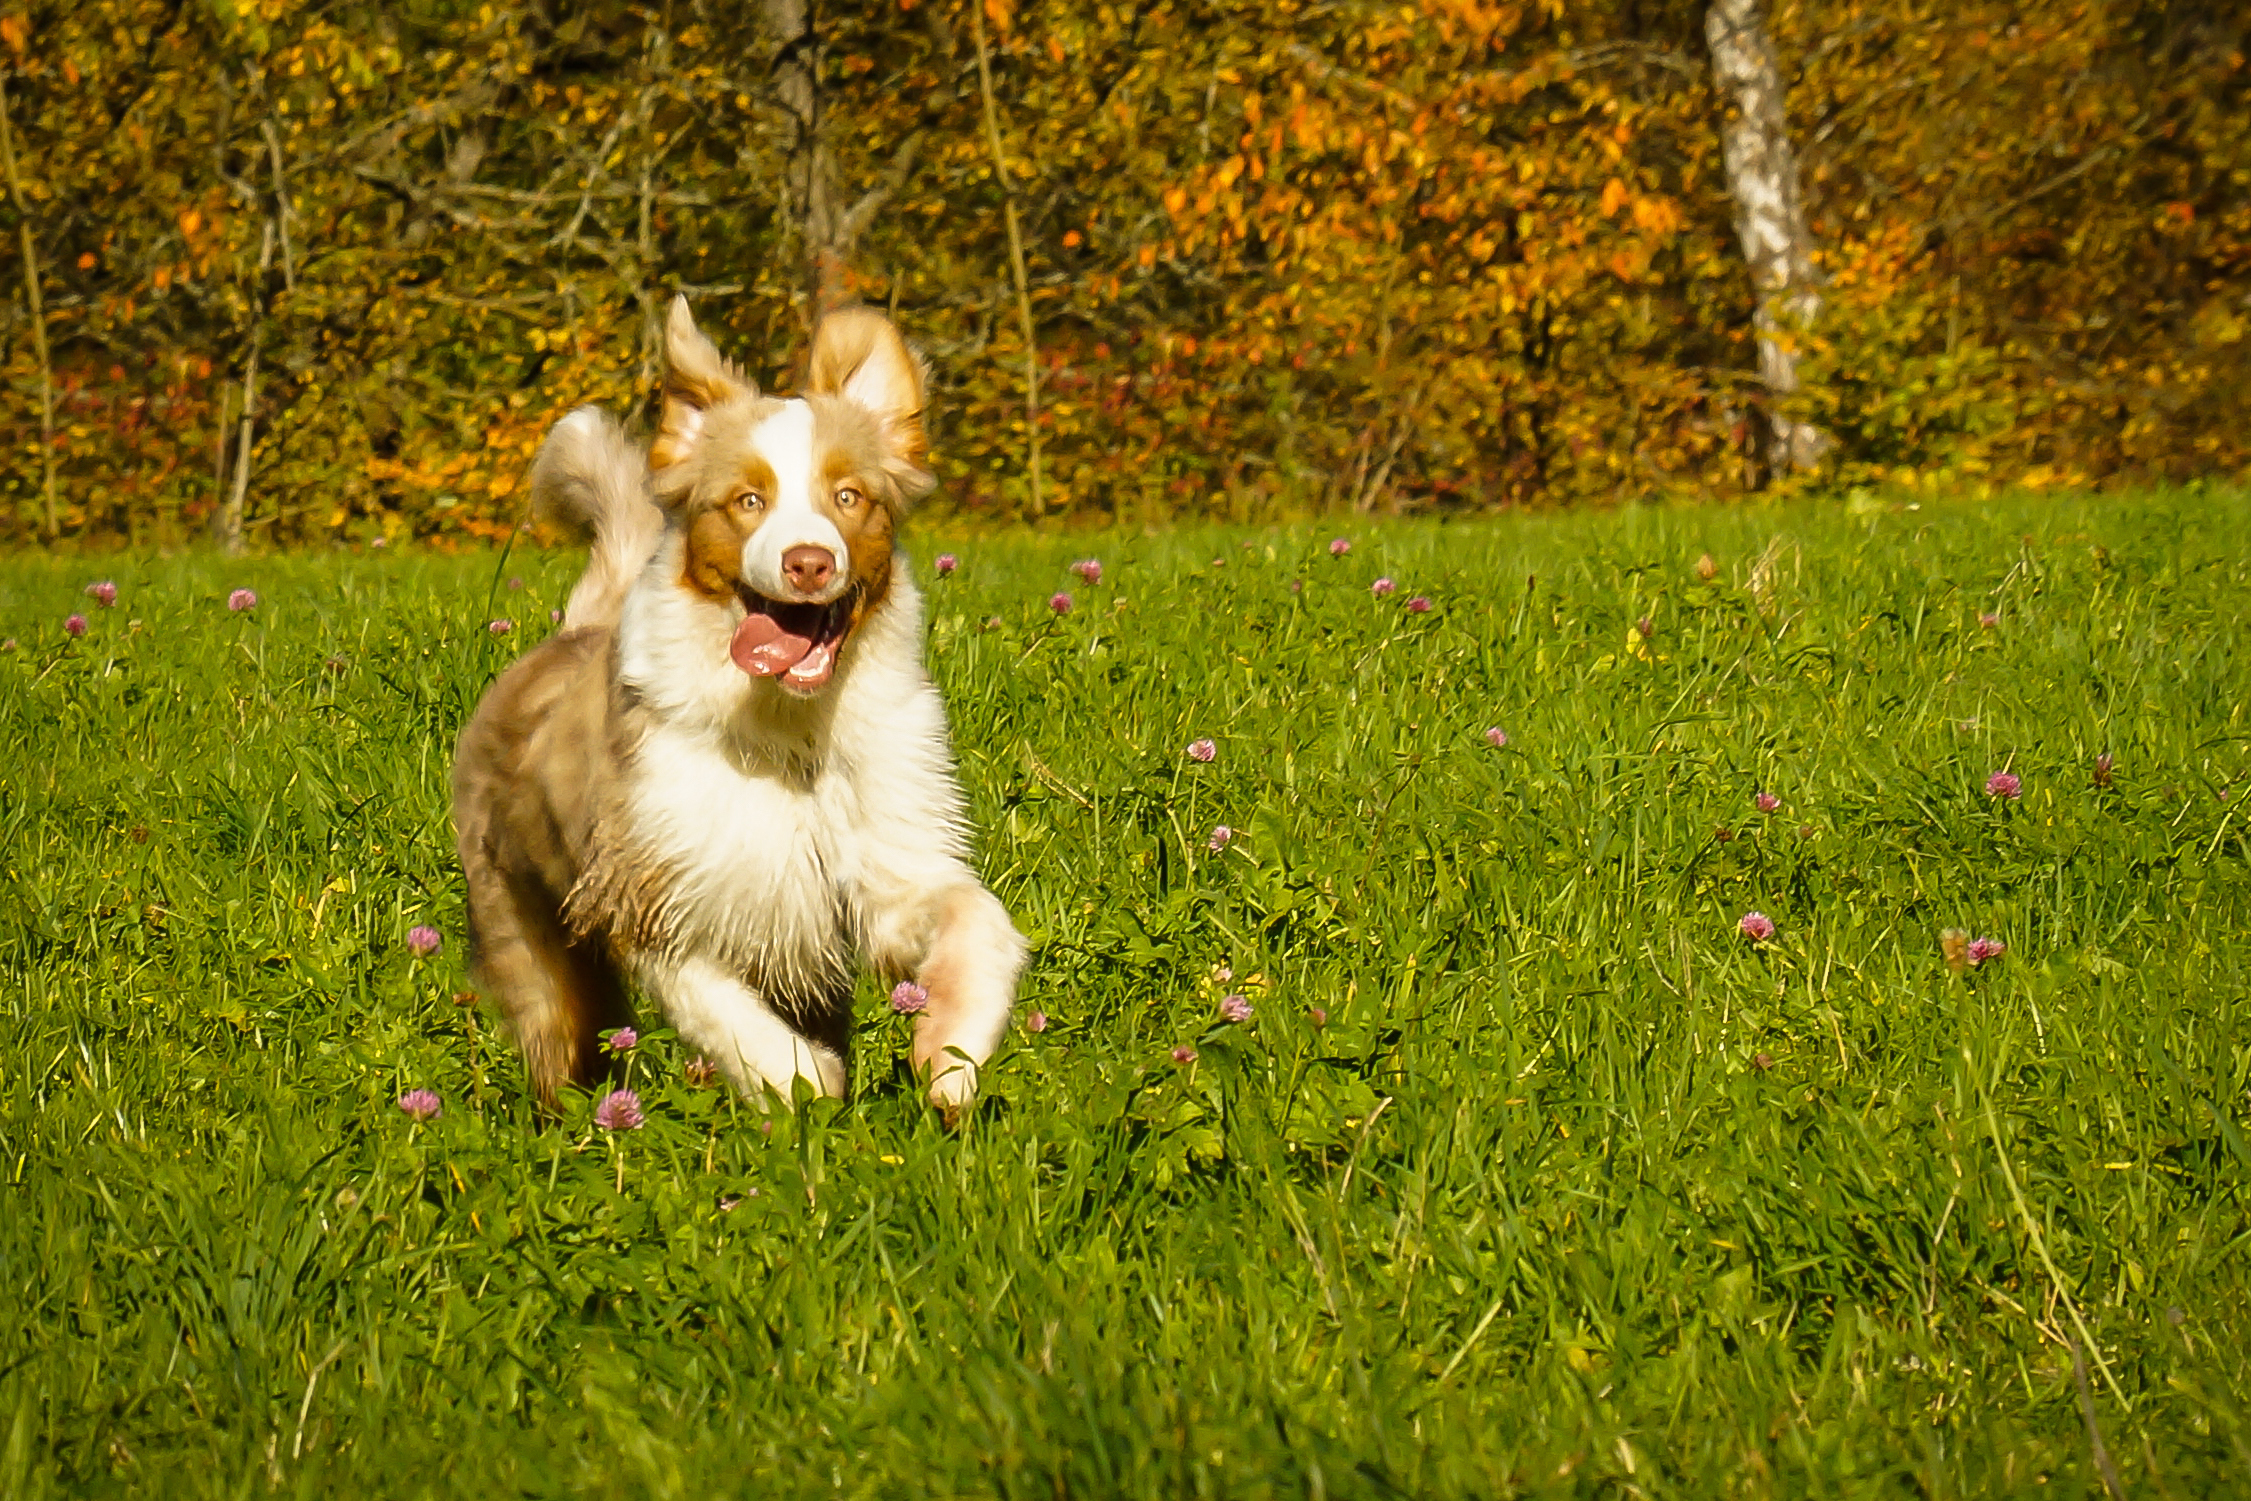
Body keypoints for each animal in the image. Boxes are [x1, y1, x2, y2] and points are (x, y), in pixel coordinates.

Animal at [450, 297, 1030, 1116]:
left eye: (847, 497)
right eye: (748, 501)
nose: (808, 561)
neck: (791, 734)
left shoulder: (887, 868)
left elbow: (980, 922)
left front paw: (950, 1055)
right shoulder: (659, 895)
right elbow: (729, 1016)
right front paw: (802, 1081)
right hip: (529, 938)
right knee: (556, 1035)